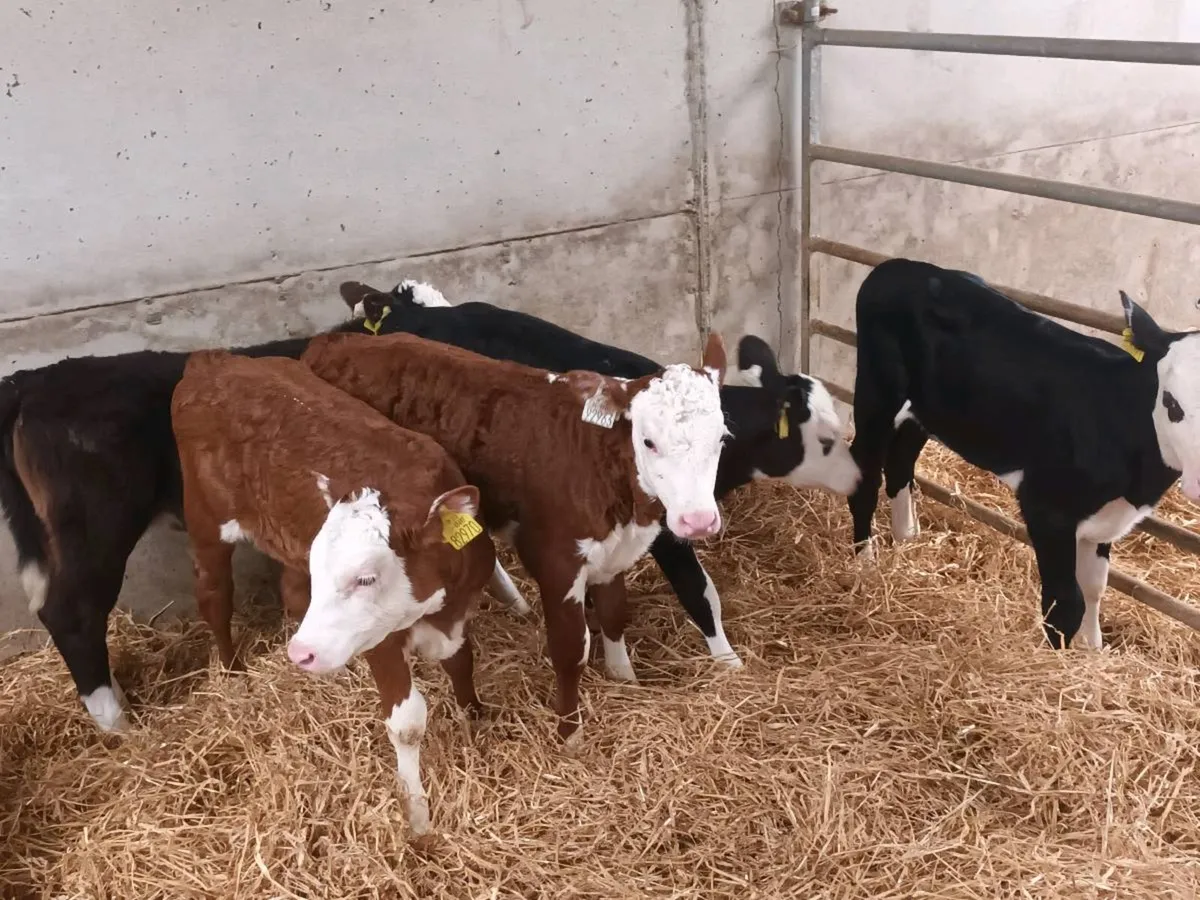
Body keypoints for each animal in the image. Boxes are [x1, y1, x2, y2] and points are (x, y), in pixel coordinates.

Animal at [171, 349, 494, 836]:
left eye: (365, 578)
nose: (300, 653)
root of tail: (214, 360)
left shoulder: (457, 614)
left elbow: (462, 663)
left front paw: (476, 720)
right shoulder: (382, 641)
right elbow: (407, 723)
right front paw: (417, 815)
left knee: (290, 591)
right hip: (206, 520)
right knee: (213, 594)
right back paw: (232, 672)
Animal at [299, 330, 730, 743]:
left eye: (722, 439)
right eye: (648, 441)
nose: (698, 521)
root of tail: (330, 339)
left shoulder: (614, 554)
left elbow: (613, 615)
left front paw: (625, 679)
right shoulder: (557, 563)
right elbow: (570, 649)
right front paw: (569, 734)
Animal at [335, 279, 862, 668]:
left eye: (721, 438)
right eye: (826, 440)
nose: (860, 481)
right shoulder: (667, 530)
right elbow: (700, 592)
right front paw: (728, 663)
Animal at [847, 258, 1200, 650]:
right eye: (1171, 402)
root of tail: (898, 266)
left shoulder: (1106, 517)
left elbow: (1095, 588)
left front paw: (1093, 650)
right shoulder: (1047, 507)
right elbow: (1066, 603)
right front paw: (1058, 659)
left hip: (922, 411)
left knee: (900, 463)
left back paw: (906, 537)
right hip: (877, 391)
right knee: (865, 473)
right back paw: (865, 562)